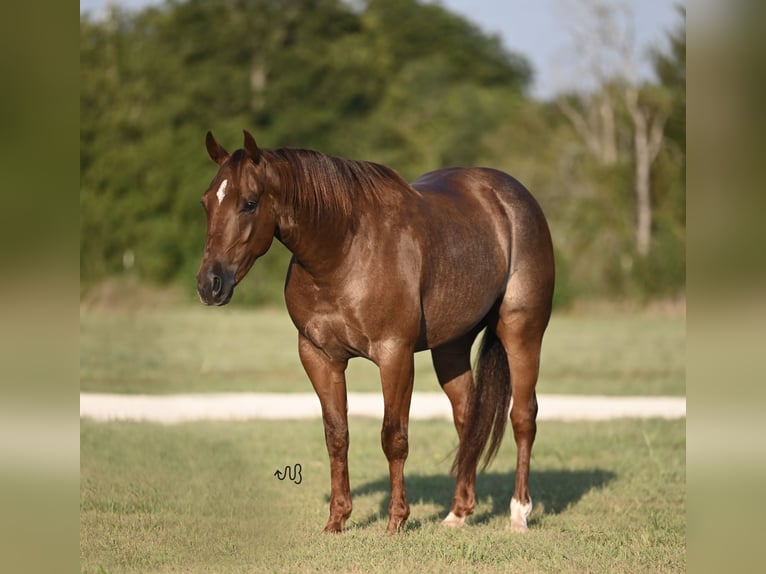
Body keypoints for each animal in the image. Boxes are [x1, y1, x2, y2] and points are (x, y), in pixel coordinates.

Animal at [196, 130, 560, 536]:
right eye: (207, 202)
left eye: (249, 203)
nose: (210, 284)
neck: (342, 252)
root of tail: (512, 197)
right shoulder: (319, 356)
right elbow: (336, 436)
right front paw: (337, 520)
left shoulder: (394, 355)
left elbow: (393, 437)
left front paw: (396, 520)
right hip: (450, 347)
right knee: (469, 418)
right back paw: (458, 512)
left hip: (522, 332)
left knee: (523, 416)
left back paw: (518, 514)